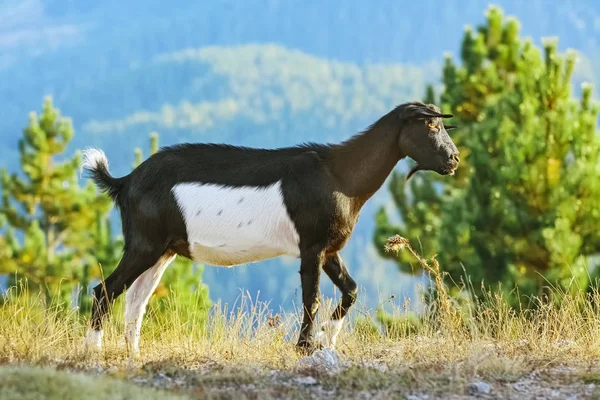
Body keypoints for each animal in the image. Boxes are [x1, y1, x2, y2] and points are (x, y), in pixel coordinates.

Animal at [81, 101, 460, 354]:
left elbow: (351, 289)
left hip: (163, 250)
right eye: (430, 126)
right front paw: (305, 345)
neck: (339, 175)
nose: (453, 160)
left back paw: (133, 355)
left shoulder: (329, 248)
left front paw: (327, 336)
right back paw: (94, 352)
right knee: (104, 291)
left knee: (135, 300)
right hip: (144, 243)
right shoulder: (311, 246)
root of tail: (125, 181)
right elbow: (312, 298)